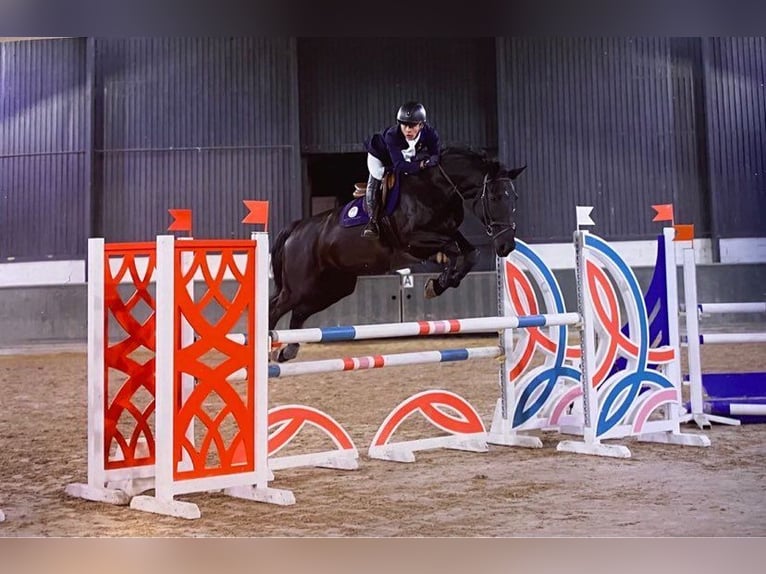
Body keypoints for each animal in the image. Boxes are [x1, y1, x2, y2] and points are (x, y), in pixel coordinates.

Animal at [268, 146, 524, 362]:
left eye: (514, 198)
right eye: (494, 197)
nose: (506, 246)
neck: (435, 188)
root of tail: (297, 228)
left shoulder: (448, 232)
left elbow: (471, 254)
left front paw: (440, 283)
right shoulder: (413, 241)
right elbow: (452, 249)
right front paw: (438, 283)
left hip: (332, 288)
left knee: (299, 312)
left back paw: (288, 350)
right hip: (301, 286)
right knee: (276, 307)